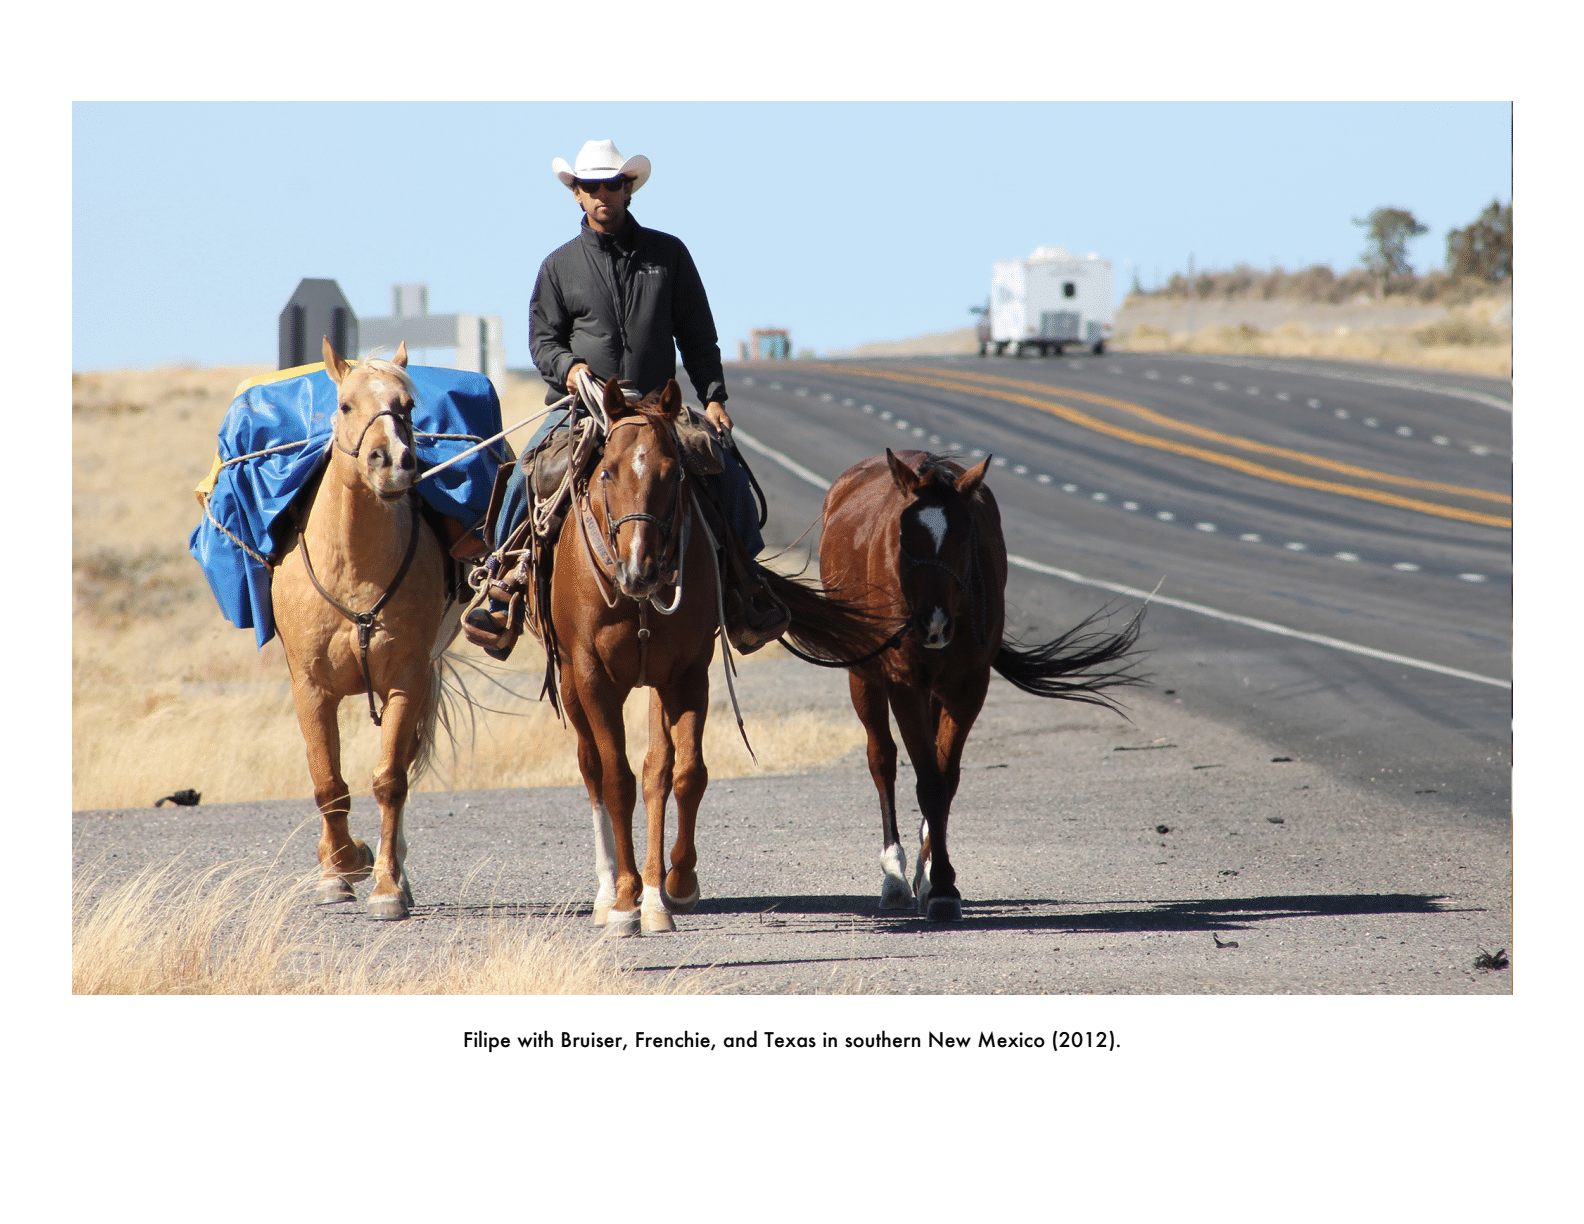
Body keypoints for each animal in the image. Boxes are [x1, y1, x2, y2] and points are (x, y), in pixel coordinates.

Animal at [269, 334, 459, 918]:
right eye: (347, 404)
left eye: (408, 406)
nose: (393, 462)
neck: (353, 566)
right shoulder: (311, 689)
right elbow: (328, 784)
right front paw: (338, 869)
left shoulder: (406, 680)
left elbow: (389, 781)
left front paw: (387, 884)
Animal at [551, 376, 887, 931]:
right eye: (607, 471)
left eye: (673, 473)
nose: (639, 571)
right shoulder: (593, 676)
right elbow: (616, 778)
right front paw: (623, 902)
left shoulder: (687, 673)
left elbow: (685, 772)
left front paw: (675, 886)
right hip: (570, 683)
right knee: (592, 768)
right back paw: (608, 893)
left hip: (656, 682)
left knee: (657, 771)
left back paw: (653, 895)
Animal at [817, 446, 1140, 918]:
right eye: (903, 535)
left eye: (964, 536)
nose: (932, 623)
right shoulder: (903, 683)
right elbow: (927, 780)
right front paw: (936, 882)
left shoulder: (966, 686)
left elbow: (943, 779)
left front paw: (937, 880)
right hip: (864, 676)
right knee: (882, 759)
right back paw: (894, 875)